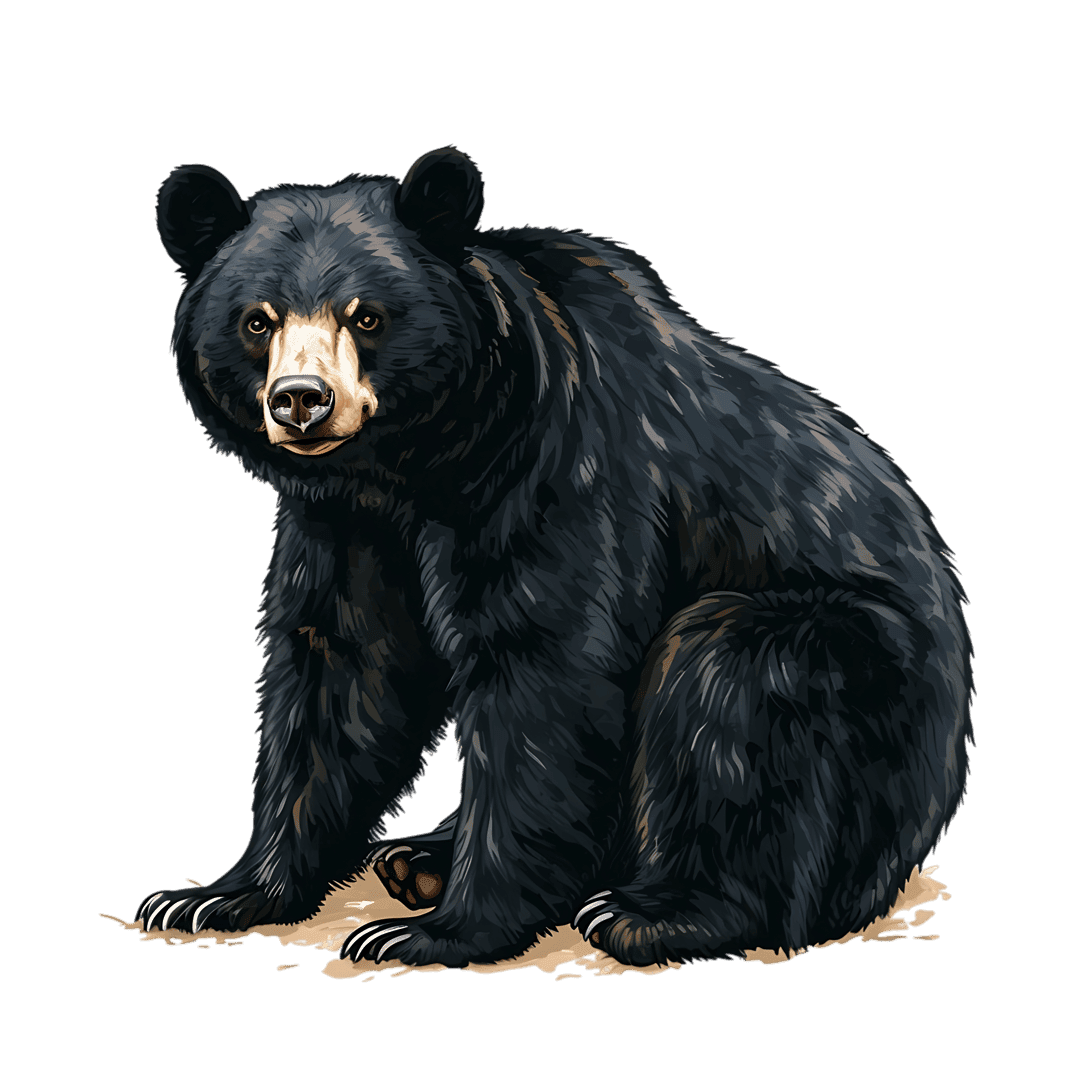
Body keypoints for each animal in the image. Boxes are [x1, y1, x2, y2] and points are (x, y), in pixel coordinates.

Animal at [137, 146, 974, 968]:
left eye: (366, 315)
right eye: (257, 320)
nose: (302, 400)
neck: (417, 461)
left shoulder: (556, 466)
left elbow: (543, 663)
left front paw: (435, 931)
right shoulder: (343, 522)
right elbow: (340, 667)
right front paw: (215, 895)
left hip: (865, 679)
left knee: (729, 676)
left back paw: (652, 912)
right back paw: (420, 856)